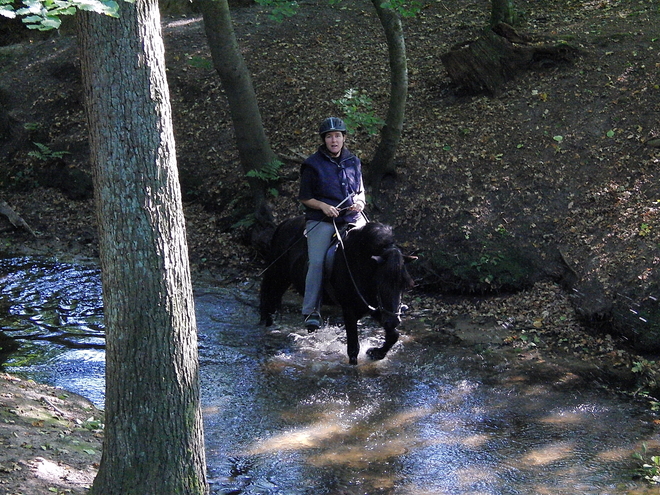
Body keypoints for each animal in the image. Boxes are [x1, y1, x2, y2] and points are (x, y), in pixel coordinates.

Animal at [260, 216, 416, 364]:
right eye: (381, 283)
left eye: (404, 285)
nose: (393, 321)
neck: (359, 263)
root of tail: (285, 223)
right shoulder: (349, 310)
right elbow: (353, 349)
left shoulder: (375, 308)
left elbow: (393, 335)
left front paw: (374, 353)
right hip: (278, 279)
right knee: (268, 306)